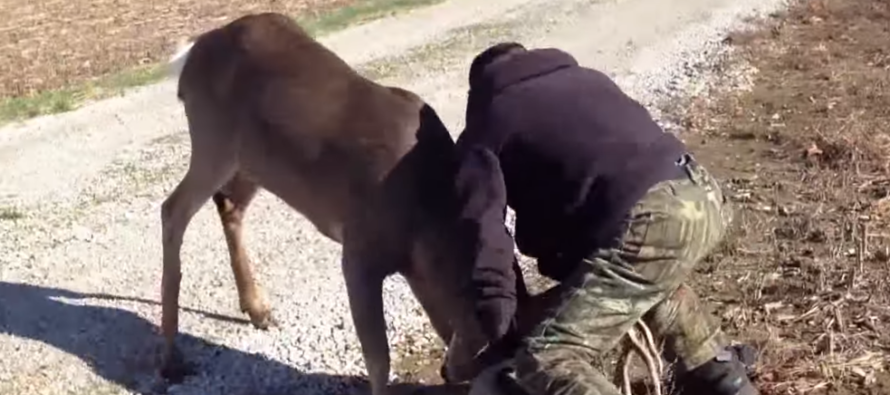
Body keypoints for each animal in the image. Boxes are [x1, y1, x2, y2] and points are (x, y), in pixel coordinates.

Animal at [160, 11, 496, 395]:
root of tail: (189, 58)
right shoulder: (359, 251)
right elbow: (379, 359)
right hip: (213, 140)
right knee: (173, 209)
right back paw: (171, 358)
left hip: (255, 162)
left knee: (228, 205)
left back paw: (258, 310)